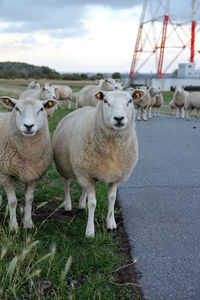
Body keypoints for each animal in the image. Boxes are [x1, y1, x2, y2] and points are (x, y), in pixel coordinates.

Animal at [0, 96, 57, 230]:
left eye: (41, 109)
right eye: (17, 108)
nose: (29, 126)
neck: (28, 154)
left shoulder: (34, 176)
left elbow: (29, 199)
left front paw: (28, 223)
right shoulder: (5, 175)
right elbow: (13, 202)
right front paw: (13, 226)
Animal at [53, 89, 143, 237]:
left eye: (130, 101)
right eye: (106, 101)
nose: (119, 118)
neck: (113, 146)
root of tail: (82, 108)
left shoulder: (114, 177)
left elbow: (112, 198)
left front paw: (111, 223)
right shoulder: (87, 175)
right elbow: (93, 203)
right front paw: (90, 231)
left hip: (85, 168)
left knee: (83, 188)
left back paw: (81, 204)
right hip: (66, 166)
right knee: (66, 184)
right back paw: (68, 205)